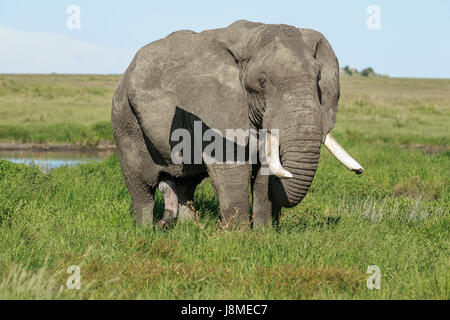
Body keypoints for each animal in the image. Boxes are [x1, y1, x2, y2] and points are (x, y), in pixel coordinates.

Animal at [111, 20, 362, 229]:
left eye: (318, 80)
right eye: (261, 82)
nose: (360, 171)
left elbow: (264, 168)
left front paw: (263, 234)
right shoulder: (214, 106)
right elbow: (230, 166)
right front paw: (238, 237)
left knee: (185, 184)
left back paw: (186, 228)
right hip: (125, 120)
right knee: (142, 185)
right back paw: (146, 230)